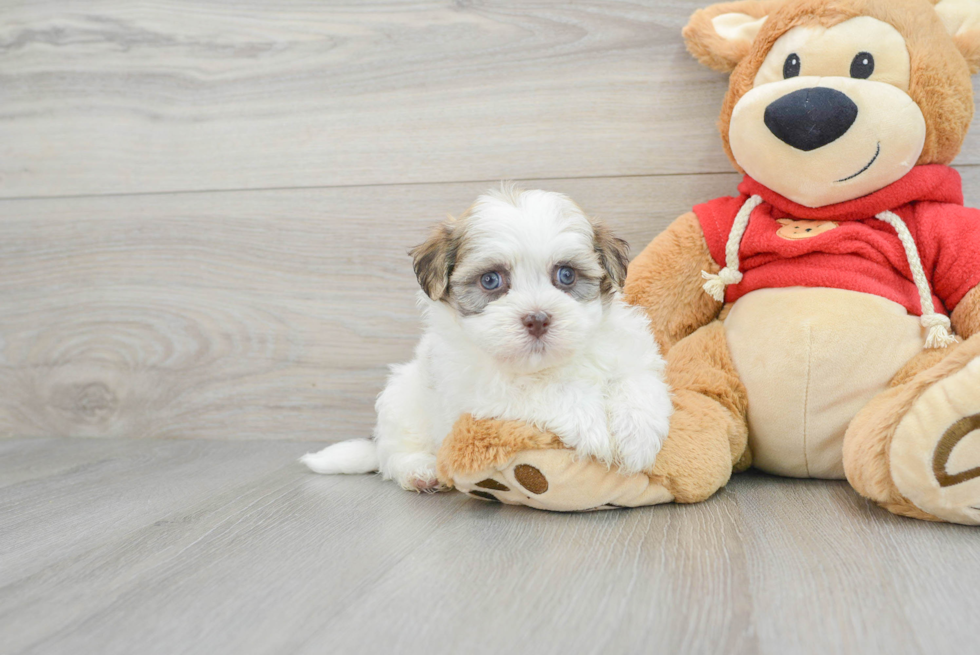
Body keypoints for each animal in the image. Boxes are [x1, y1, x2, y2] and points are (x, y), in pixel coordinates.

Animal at [302, 184, 672, 492]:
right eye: (491, 280)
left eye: (566, 275)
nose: (537, 319)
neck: (549, 364)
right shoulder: (484, 396)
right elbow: (544, 392)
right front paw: (592, 425)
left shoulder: (630, 351)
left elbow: (636, 382)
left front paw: (637, 437)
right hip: (401, 399)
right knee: (393, 453)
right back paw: (420, 471)